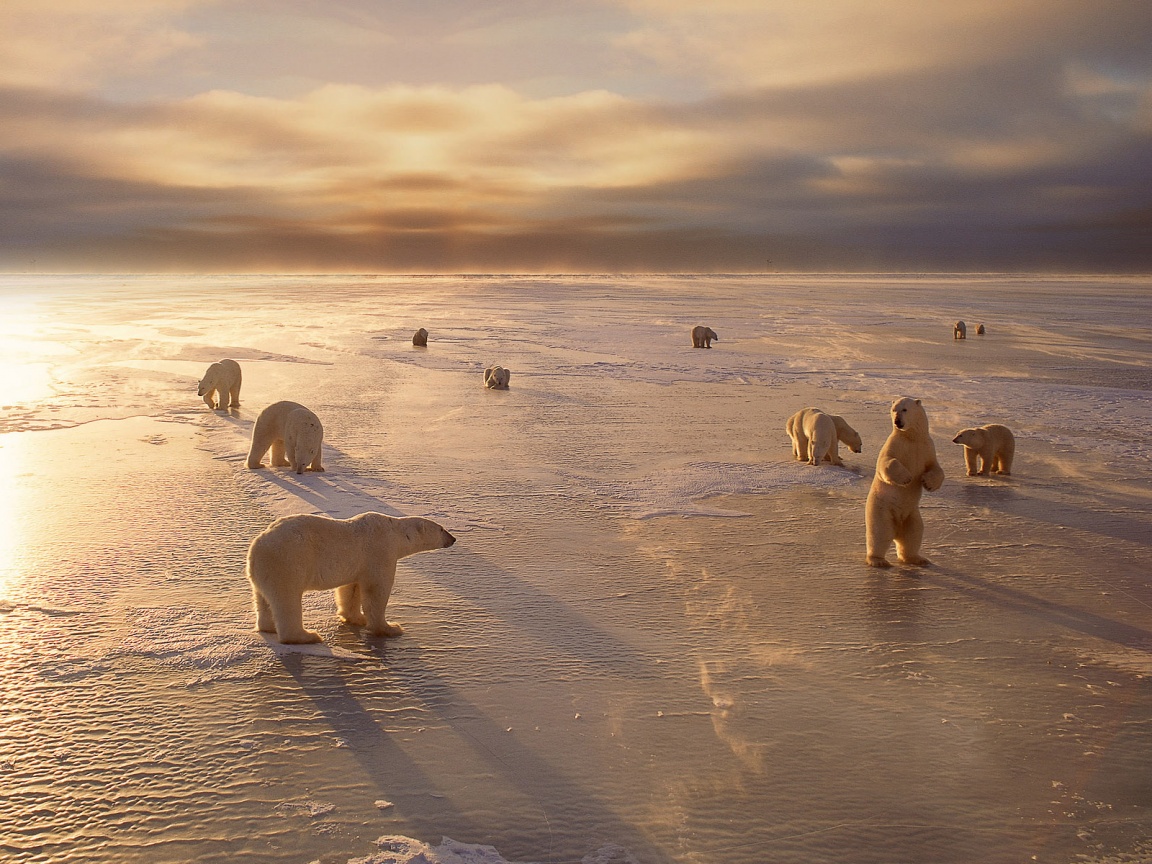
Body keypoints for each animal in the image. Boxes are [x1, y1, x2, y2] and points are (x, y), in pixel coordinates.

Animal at [246, 511, 453, 645]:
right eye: (442, 529)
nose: (453, 539)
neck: (395, 532)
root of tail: (257, 546)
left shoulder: (357, 565)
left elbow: (351, 589)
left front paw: (356, 618)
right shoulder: (380, 551)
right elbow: (377, 591)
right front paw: (390, 628)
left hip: (263, 571)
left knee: (263, 599)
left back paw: (267, 627)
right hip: (287, 562)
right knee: (287, 600)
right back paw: (307, 636)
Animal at [866, 398, 944, 569]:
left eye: (905, 409)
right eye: (894, 409)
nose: (897, 421)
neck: (912, 437)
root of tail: (897, 530)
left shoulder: (927, 447)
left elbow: (935, 468)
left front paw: (928, 483)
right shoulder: (895, 444)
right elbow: (887, 462)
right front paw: (906, 478)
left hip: (911, 515)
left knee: (913, 534)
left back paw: (917, 558)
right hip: (881, 510)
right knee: (880, 533)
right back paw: (878, 560)